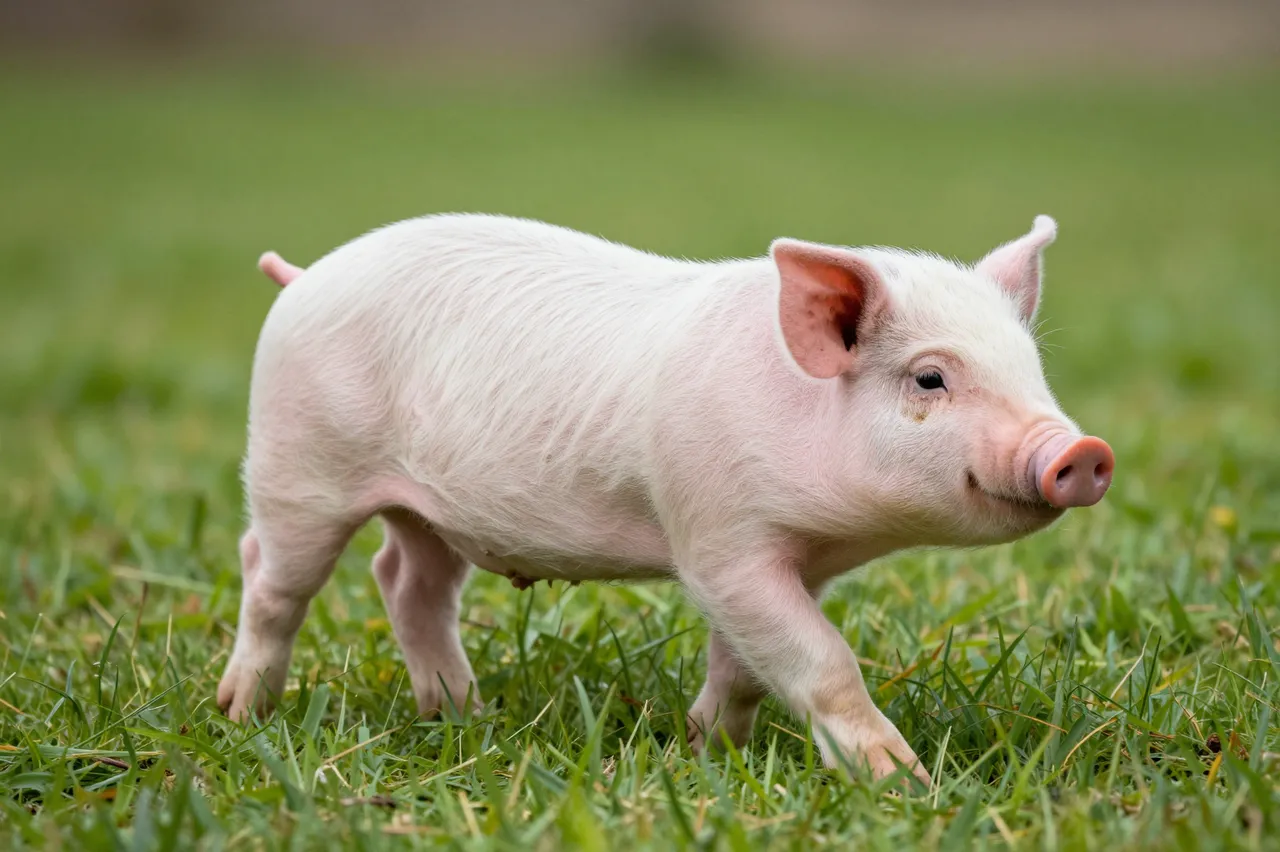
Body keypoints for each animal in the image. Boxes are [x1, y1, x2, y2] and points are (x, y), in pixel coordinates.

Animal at [218, 213, 1113, 785]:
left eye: (1030, 367)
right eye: (930, 378)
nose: (1083, 452)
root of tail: (304, 276)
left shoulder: (791, 561)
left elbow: (747, 665)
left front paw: (709, 750)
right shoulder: (717, 536)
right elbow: (821, 658)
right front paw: (902, 781)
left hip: (429, 509)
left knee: (407, 582)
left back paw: (463, 717)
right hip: (298, 463)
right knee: (271, 573)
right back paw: (243, 715)